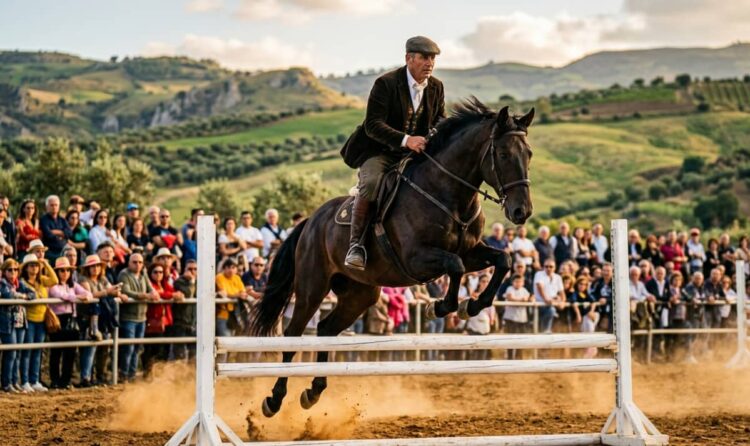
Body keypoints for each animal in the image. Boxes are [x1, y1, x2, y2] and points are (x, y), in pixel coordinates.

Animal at [250, 98, 535, 417]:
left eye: (528, 154)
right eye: (503, 153)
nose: (522, 212)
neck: (450, 195)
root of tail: (310, 221)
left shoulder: (471, 251)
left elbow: (502, 261)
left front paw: (470, 306)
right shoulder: (417, 259)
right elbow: (455, 266)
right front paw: (439, 307)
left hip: (360, 294)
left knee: (325, 329)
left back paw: (314, 391)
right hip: (312, 287)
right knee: (293, 335)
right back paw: (274, 400)